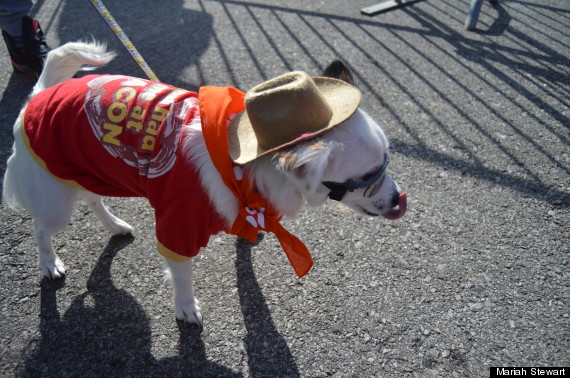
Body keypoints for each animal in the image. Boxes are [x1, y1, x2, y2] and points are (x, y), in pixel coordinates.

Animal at [3, 42, 404, 324]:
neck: (240, 165)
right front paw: (185, 309)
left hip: (90, 171)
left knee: (91, 199)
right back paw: (49, 264)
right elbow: (181, 275)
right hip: (55, 202)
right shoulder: (176, 226)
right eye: (367, 177)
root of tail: (38, 94)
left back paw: (114, 225)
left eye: (387, 161)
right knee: (41, 228)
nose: (399, 199)